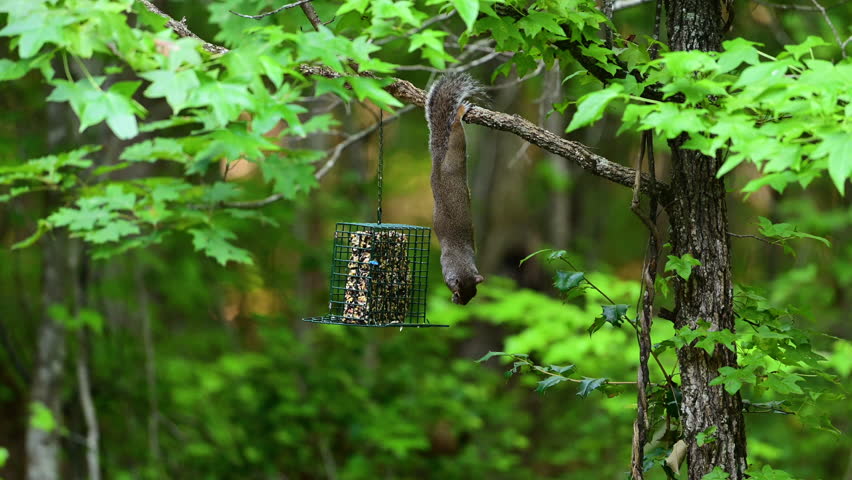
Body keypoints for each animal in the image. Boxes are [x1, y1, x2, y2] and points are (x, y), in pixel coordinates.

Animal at [426, 73, 485, 305]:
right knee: (457, 133)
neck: (460, 262)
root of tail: (439, 160)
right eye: (457, 291)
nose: (459, 303)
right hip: (455, 155)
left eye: (474, 293)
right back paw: (460, 112)